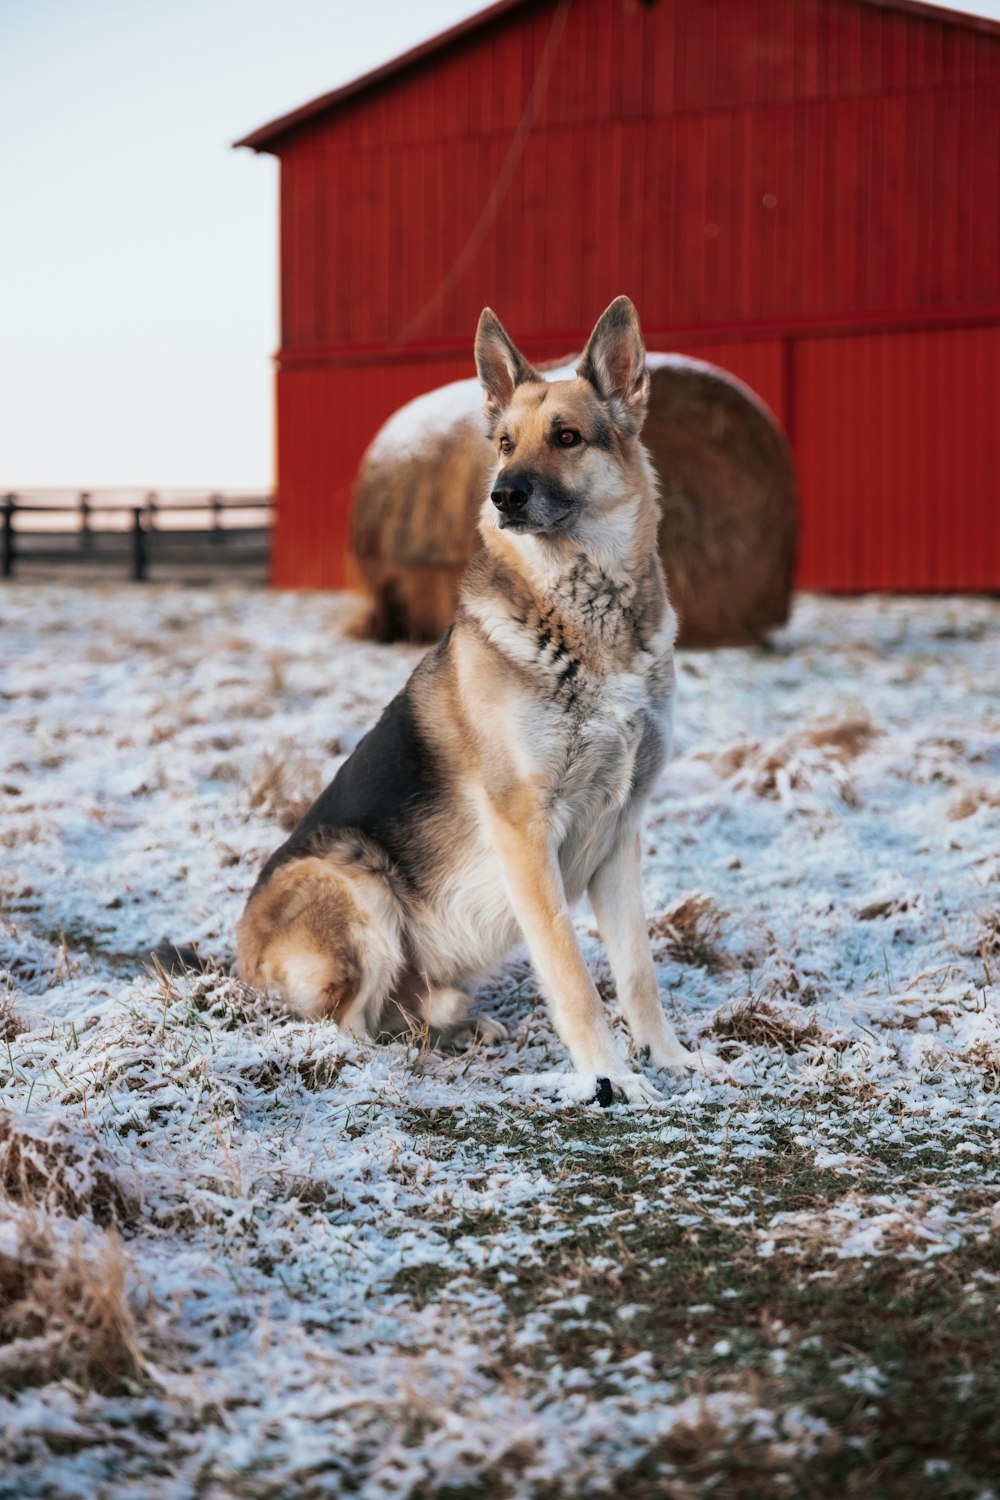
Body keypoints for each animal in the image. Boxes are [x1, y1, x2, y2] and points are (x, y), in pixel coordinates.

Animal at [235, 295, 719, 1104]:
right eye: (502, 444)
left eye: (566, 437)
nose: (502, 497)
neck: (587, 616)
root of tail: (238, 961)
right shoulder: (525, 833)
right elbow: (572, 973)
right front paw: (608, 1078)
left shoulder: (620, 831)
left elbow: (637, 970)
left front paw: (668, 1057)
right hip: (355, 879)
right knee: (344, 1027)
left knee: (408, 1011)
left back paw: (459, 1031)